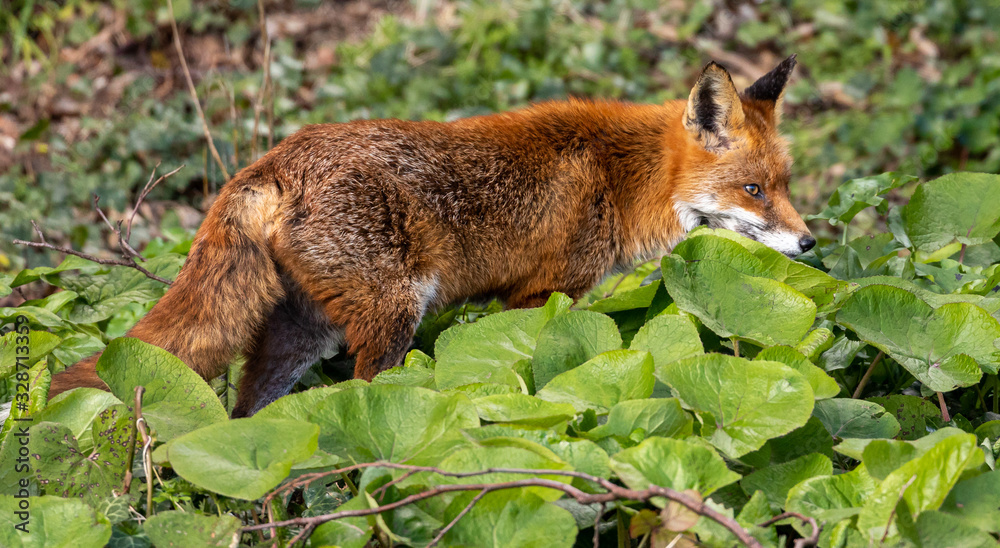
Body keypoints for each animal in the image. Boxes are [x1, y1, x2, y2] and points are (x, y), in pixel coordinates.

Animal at [46, 55, 814, 417]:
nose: (809, 245)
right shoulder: (541, 297)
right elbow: (536, 373)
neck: (622, 177)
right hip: (393, 319)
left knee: (250, 417)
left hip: (303, 334)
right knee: (360, 402)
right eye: (754, 191)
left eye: (786, 183)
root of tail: (272, 162)